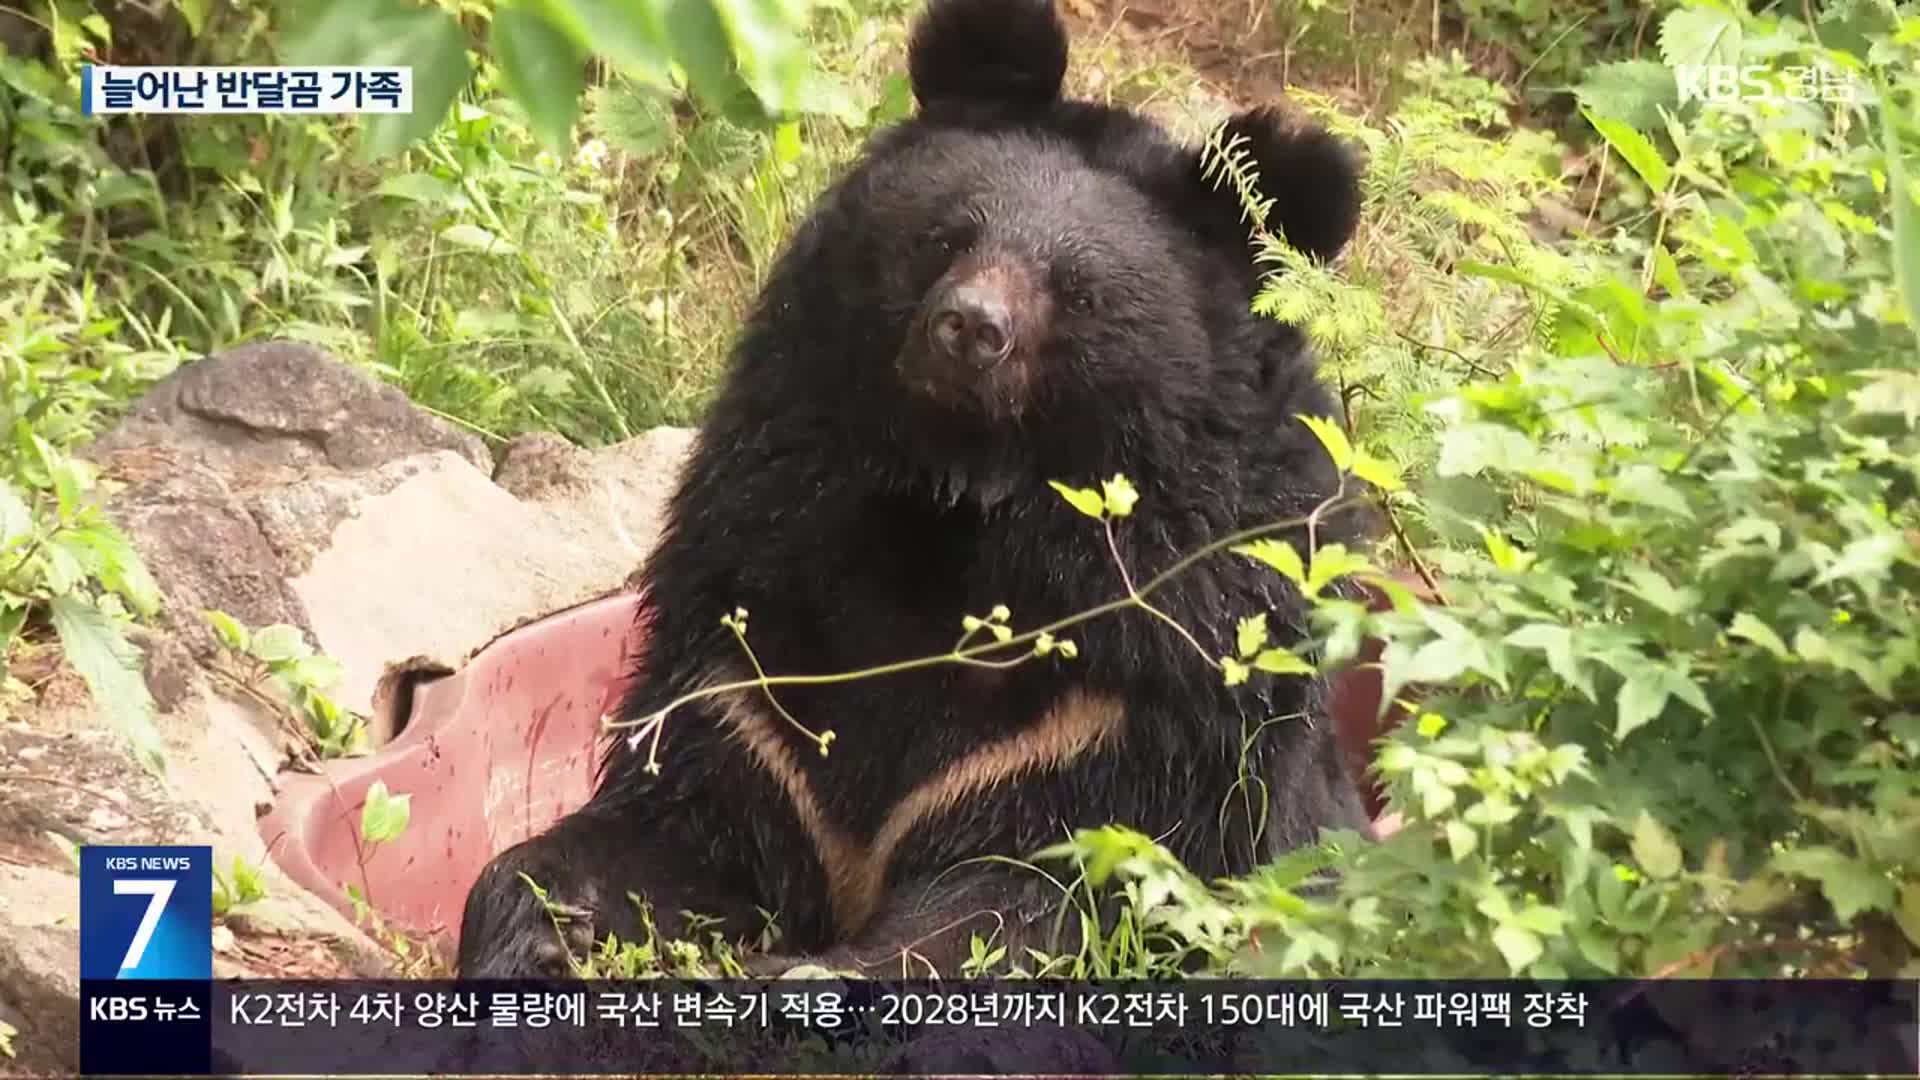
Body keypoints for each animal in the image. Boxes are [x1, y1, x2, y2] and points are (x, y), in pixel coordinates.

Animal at [455, 0, 1374, 976]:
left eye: (1078, 292)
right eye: (947, 237)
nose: (969, 328)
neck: (954, 511)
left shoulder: (1137, 719)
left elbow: (1021, 906)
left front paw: (796, 972)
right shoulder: (753, 662)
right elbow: (675, 821)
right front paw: (532, 935)